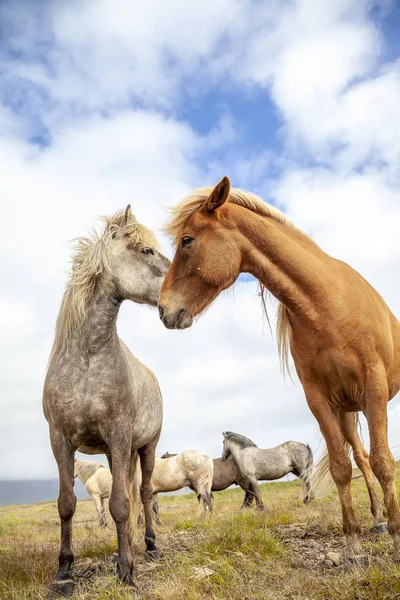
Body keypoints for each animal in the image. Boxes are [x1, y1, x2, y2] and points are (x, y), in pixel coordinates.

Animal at [42, 205, 170, 596]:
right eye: (146, 251)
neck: (87, 359)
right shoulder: (61, 440)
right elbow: (66, 505)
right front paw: (64, 574)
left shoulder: (119, 435)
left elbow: (121, 505)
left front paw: (127, 572)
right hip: (121, 453)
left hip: (144, 447)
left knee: (143, 493)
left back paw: (149, 547)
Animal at [158, 178, 398, 564]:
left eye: (187, 240)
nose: (163, 309)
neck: (328, 305)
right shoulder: (319, 400)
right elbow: (342, 467)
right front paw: (353, 546)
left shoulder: (374, 388)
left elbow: (384, 462)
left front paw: (396, 539)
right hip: (346, 411)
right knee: (358, 458)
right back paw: (376, 520)